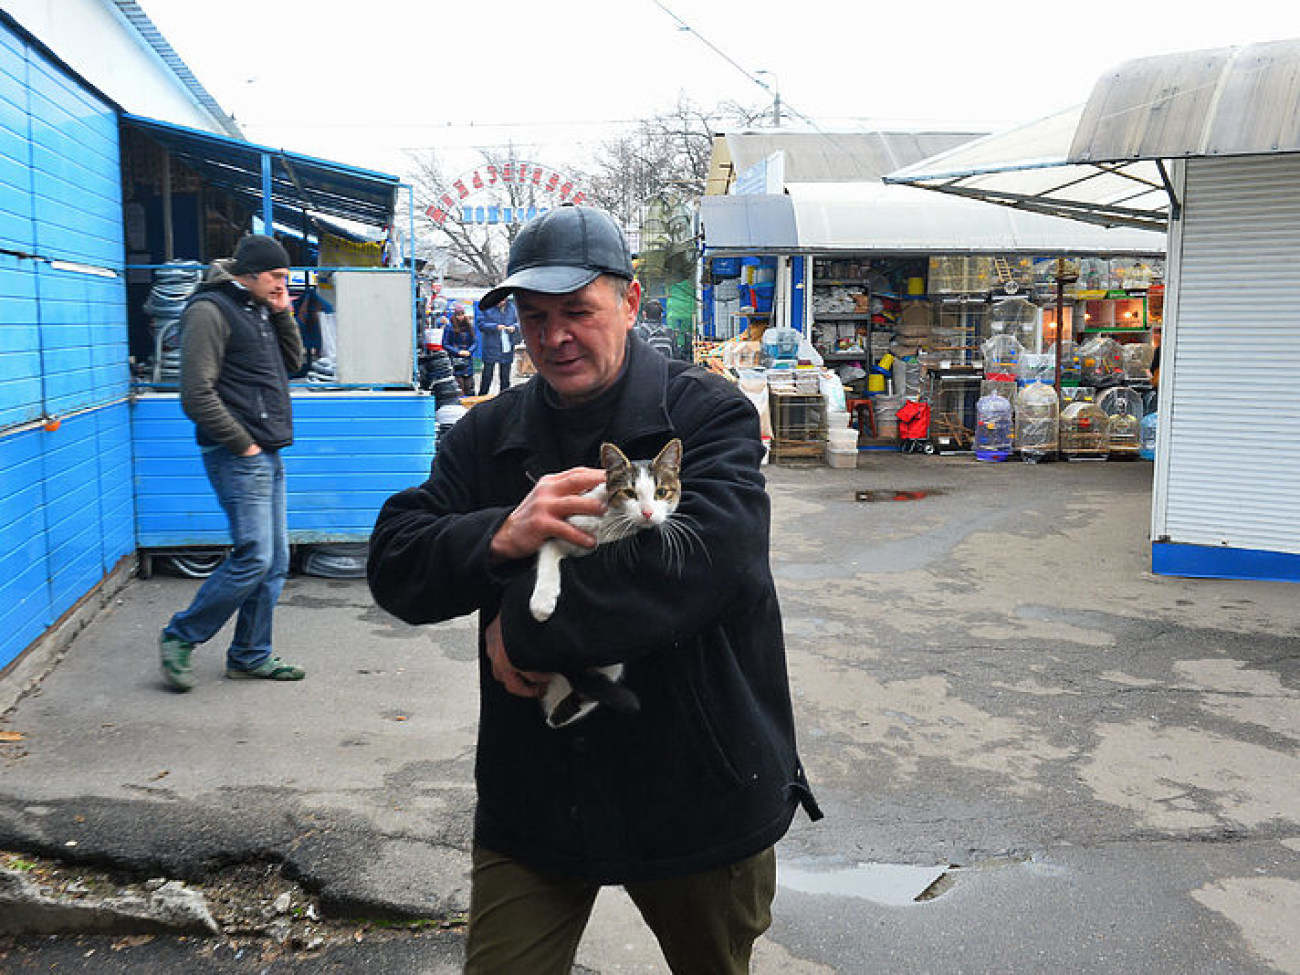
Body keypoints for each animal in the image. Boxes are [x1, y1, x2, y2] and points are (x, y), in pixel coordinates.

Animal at [530, 439, 696, 728]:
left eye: (661, 492)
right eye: (629, 492)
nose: (647, 513)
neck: (611, 524)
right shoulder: (565, 527)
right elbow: (549, 552)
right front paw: (542, 602)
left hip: (611, 663)